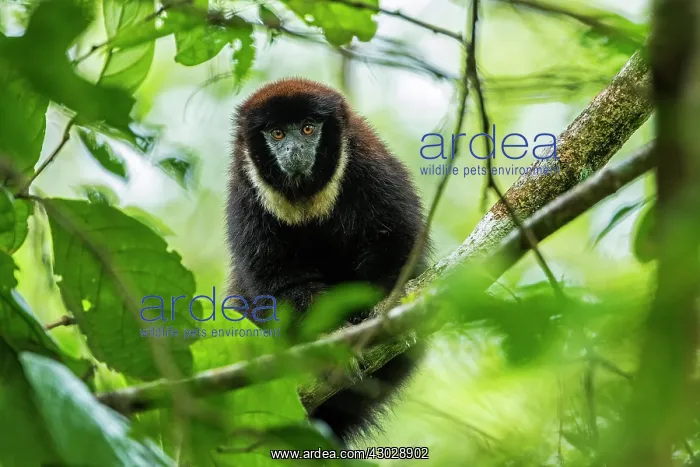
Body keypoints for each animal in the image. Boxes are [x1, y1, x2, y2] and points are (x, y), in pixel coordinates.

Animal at [225, 77, 431, 441]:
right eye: (277, 133)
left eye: (308, 128)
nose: (294, 149)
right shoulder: (244, 194)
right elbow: (280, 282)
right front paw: (330, 344)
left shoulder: (370, 165)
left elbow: (396, 242)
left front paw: (384, 314)